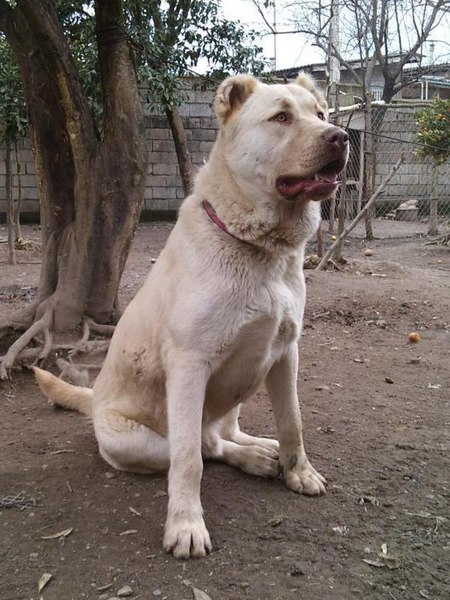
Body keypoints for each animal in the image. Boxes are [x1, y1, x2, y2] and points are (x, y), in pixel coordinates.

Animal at [36, 72, 352, 560]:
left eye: (320, 114)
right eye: (281, 117)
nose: (340, 136)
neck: (260, 250)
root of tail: (95, 400)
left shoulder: (286, 353)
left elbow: (293, 422)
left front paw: (298, 471)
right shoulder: (189, 367)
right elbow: (188, 463)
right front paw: (186, 525)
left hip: (245, 383)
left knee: (224, 433)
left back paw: (260, 450)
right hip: (138, 442)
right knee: (201, 446)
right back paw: (251, 457)